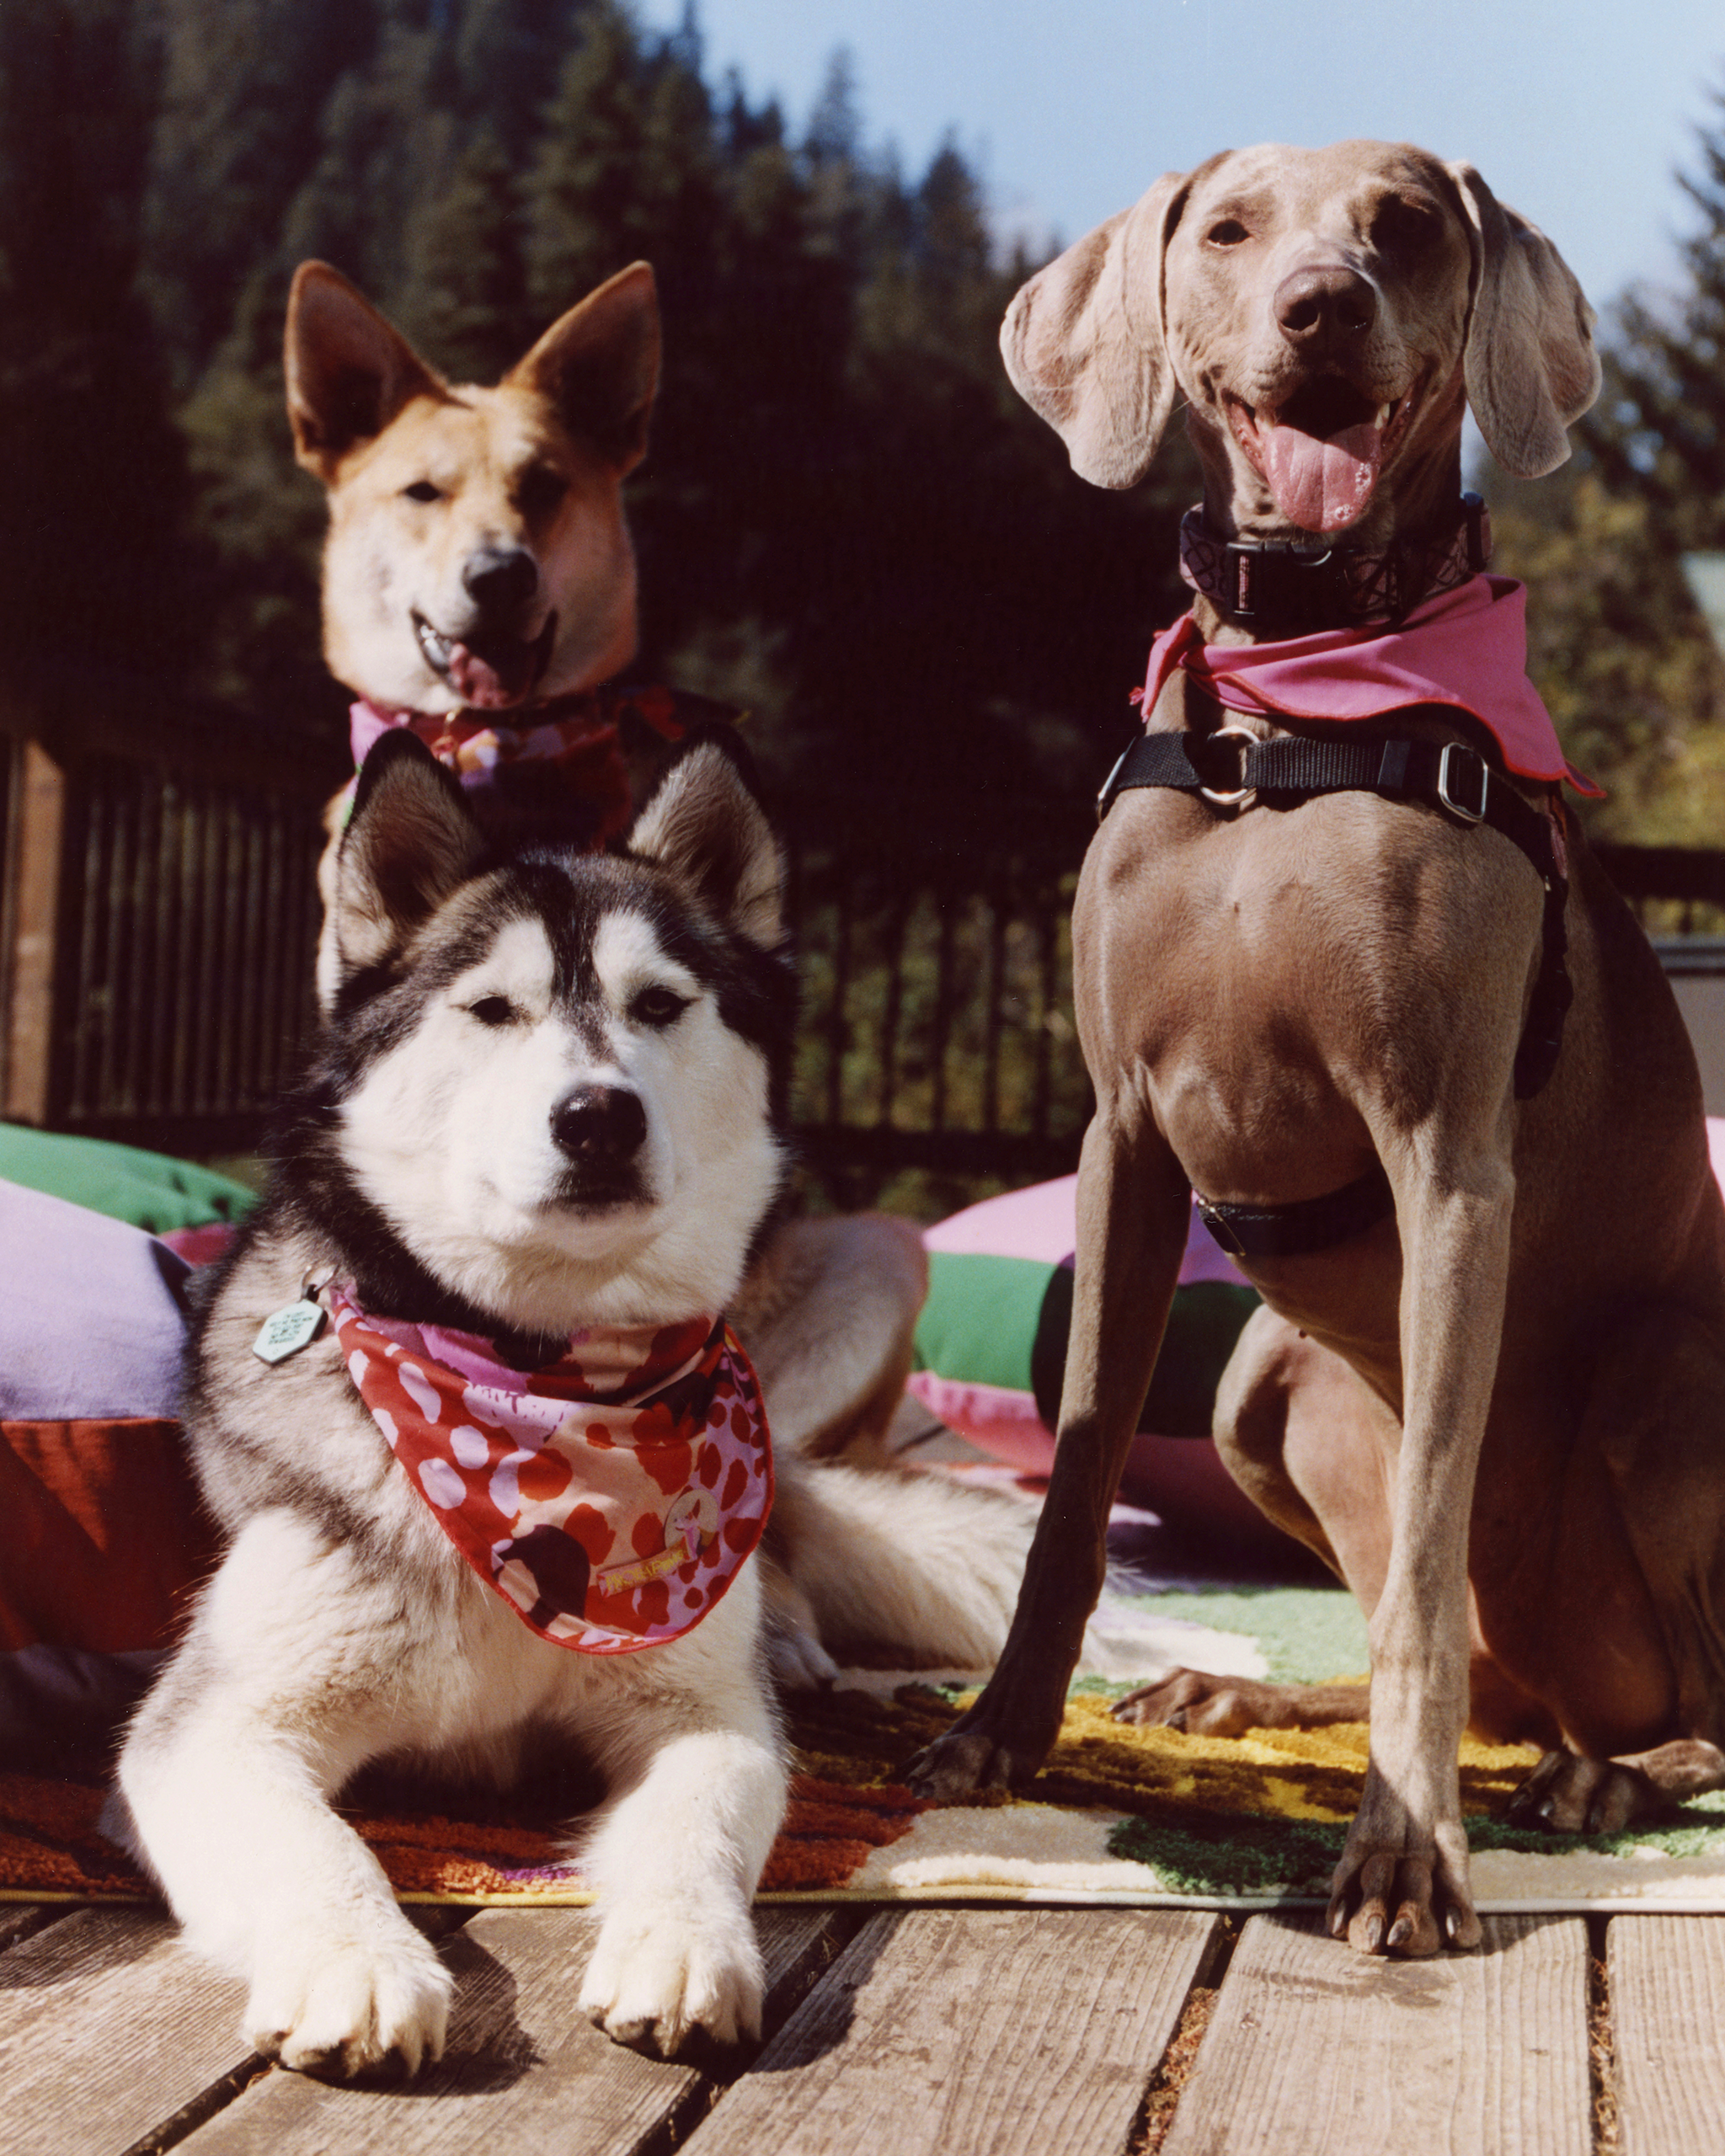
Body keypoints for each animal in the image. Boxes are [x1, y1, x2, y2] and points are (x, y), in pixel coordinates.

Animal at [121, 733, 1030, 2078]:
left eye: (660, 1005)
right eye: (491, 1010)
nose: (598, 1114)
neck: (534, 1384)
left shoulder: (702, 1714)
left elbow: (696, 1817)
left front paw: (683, 1945)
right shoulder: (216, 1729)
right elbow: (314, 1845)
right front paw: (355, 1960)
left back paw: (795, 1635)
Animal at [901, 135, 1725, 1957]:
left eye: (1404, 225)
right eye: (1226, 230)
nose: (1320, 307)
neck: (1294, 692)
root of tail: (1577, 1683)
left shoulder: (1449, 1160)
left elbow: (1419, 1545)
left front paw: (1405, 1856)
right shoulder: (1121, 1137)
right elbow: (1075, 1480)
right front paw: (999, 1729)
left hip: (1659, 1383)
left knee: (1654, 1692)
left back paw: (1609, 1781)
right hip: (1256, 1390)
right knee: (1477, 1669)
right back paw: (1252, 1700)